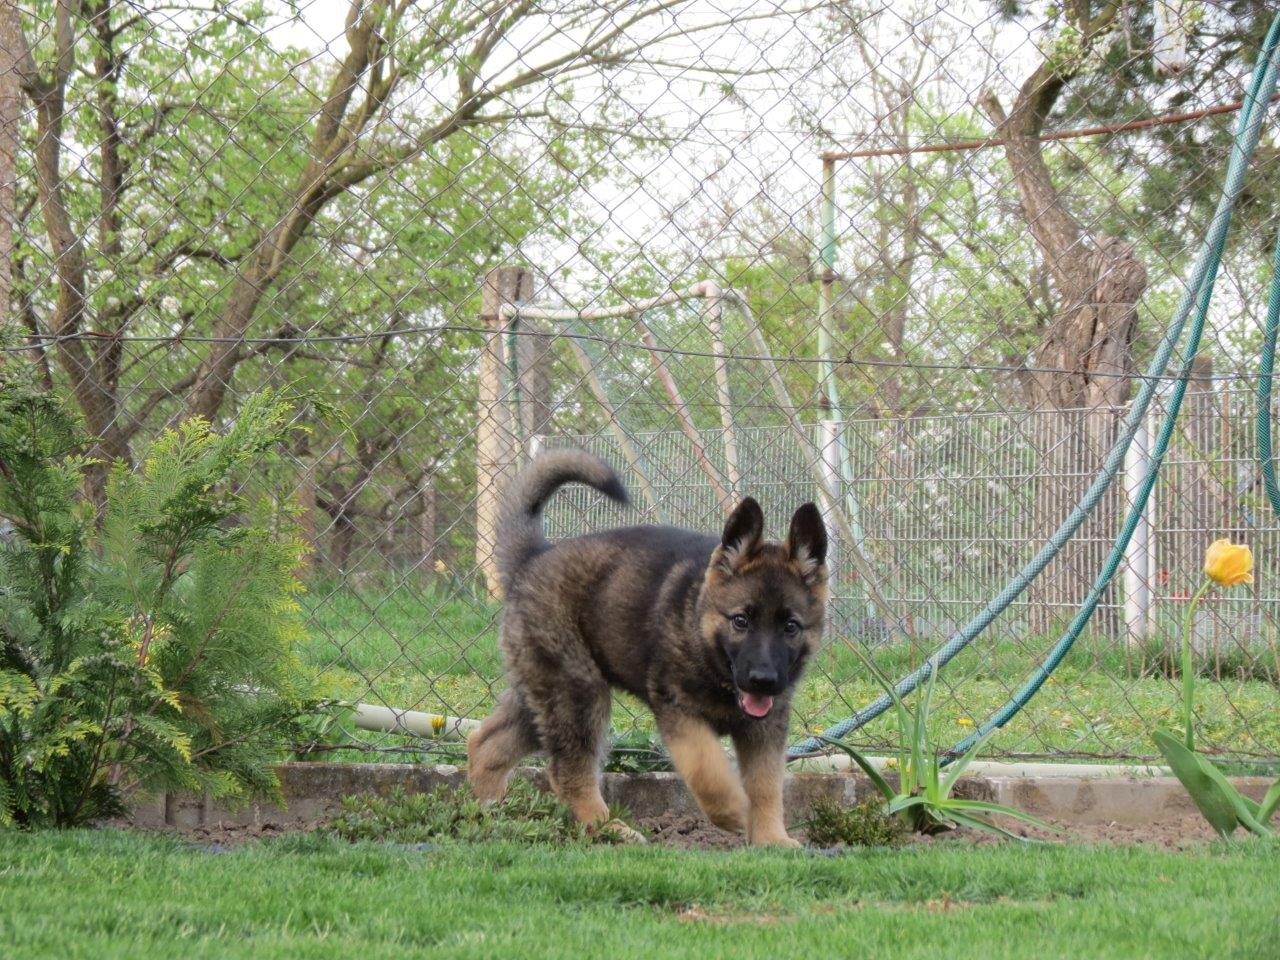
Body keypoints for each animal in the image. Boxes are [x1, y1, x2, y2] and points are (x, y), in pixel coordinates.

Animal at [467, 449, 828, 846]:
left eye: (790, 627)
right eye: (740, 621)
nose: (763, 680)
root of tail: (533, 557)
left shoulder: (766, 727)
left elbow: (767, 784)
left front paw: (771, 839)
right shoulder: (677, 712)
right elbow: (706, 769)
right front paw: (734, 810)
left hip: (542, 696)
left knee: (486, 743)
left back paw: (490, 815)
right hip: (578, 693)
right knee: (567, 771)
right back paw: (609, 829)